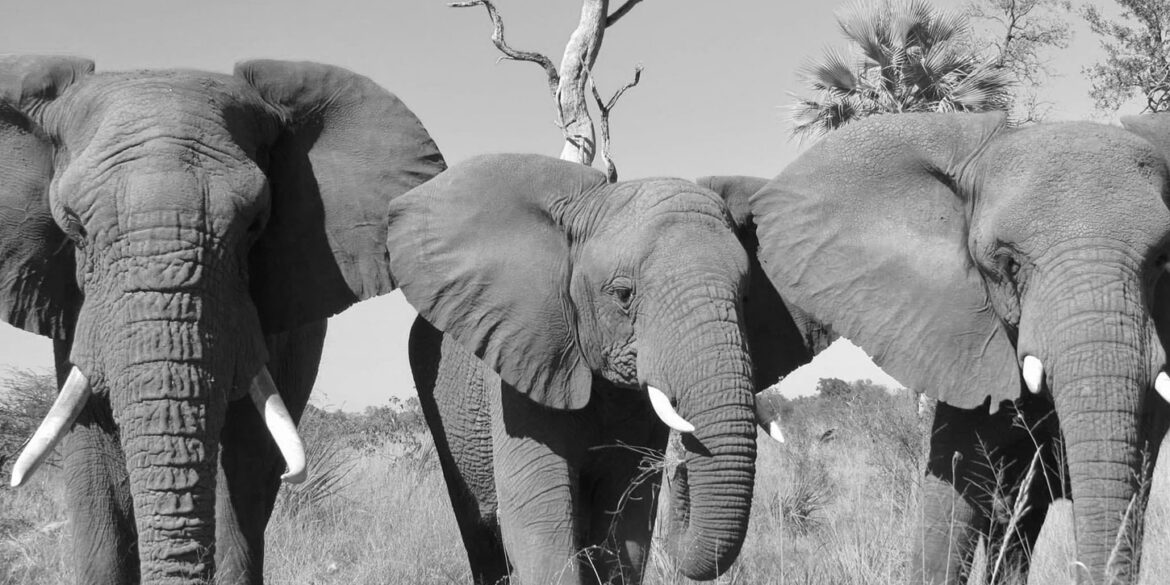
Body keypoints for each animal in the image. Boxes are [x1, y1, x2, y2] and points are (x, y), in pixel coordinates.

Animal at [384, 153, 763, 585]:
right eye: (622, 294)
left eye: (745, 296)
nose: (681, 471)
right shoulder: (524, 363)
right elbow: (537, 521)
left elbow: (628, 522)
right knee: (480, 532)